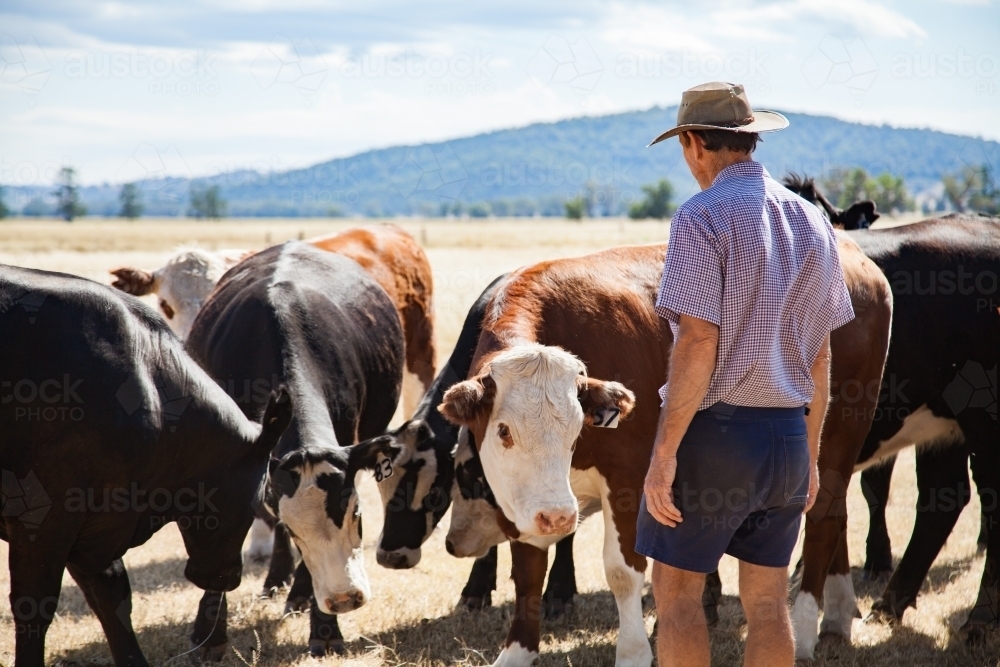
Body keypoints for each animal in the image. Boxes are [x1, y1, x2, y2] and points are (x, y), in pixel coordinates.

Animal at [0, 264, 292, 667]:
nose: (229, 576)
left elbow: (113, 599)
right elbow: (35, 607)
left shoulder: (96, 525)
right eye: (263, 495)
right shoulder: (43, 518)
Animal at [437, 241, 891, 665]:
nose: (559, 517)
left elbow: (622, 571)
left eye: (575, 430)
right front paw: (518, 652)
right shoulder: (525, 502)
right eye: (503, 431)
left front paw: (633, 653)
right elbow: (528, 570)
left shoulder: (627, 477)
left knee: (823, 524)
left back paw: (805, 629)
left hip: (834, 448)